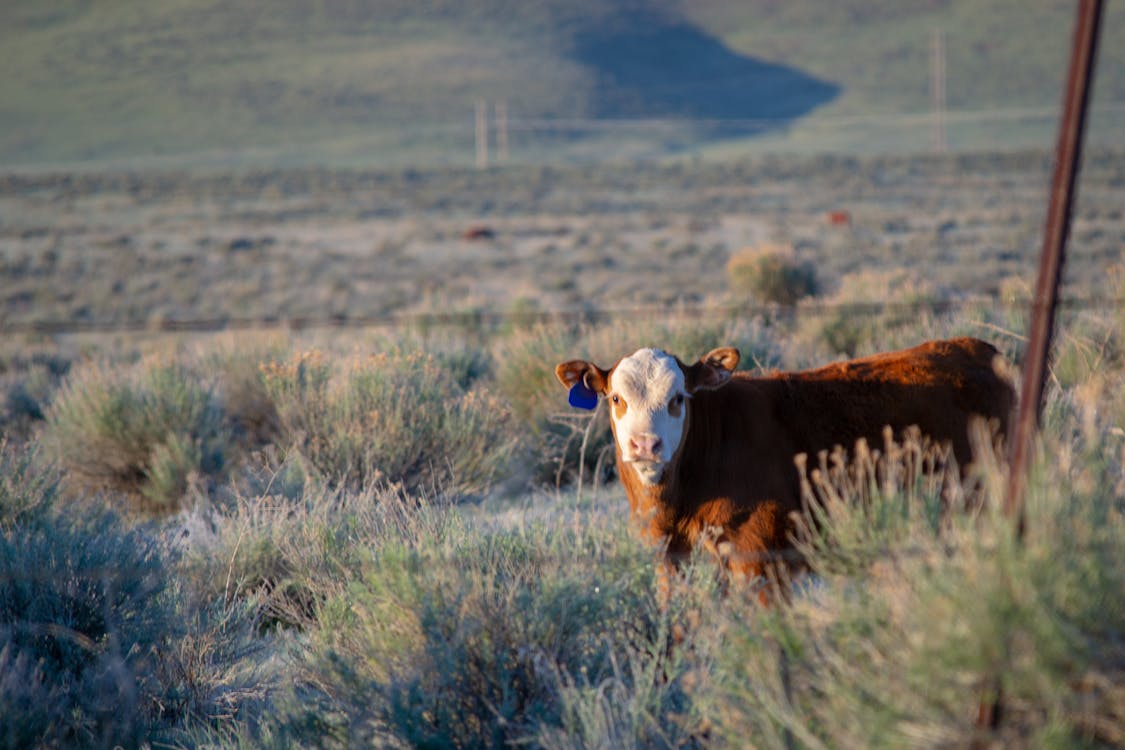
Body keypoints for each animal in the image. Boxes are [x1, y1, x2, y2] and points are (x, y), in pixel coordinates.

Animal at [558, 339, 1017, 593]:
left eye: (677, 399)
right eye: (616, 398)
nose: (645, 444)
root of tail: (975, 347)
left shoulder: (761, 562)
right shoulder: (671, 558)